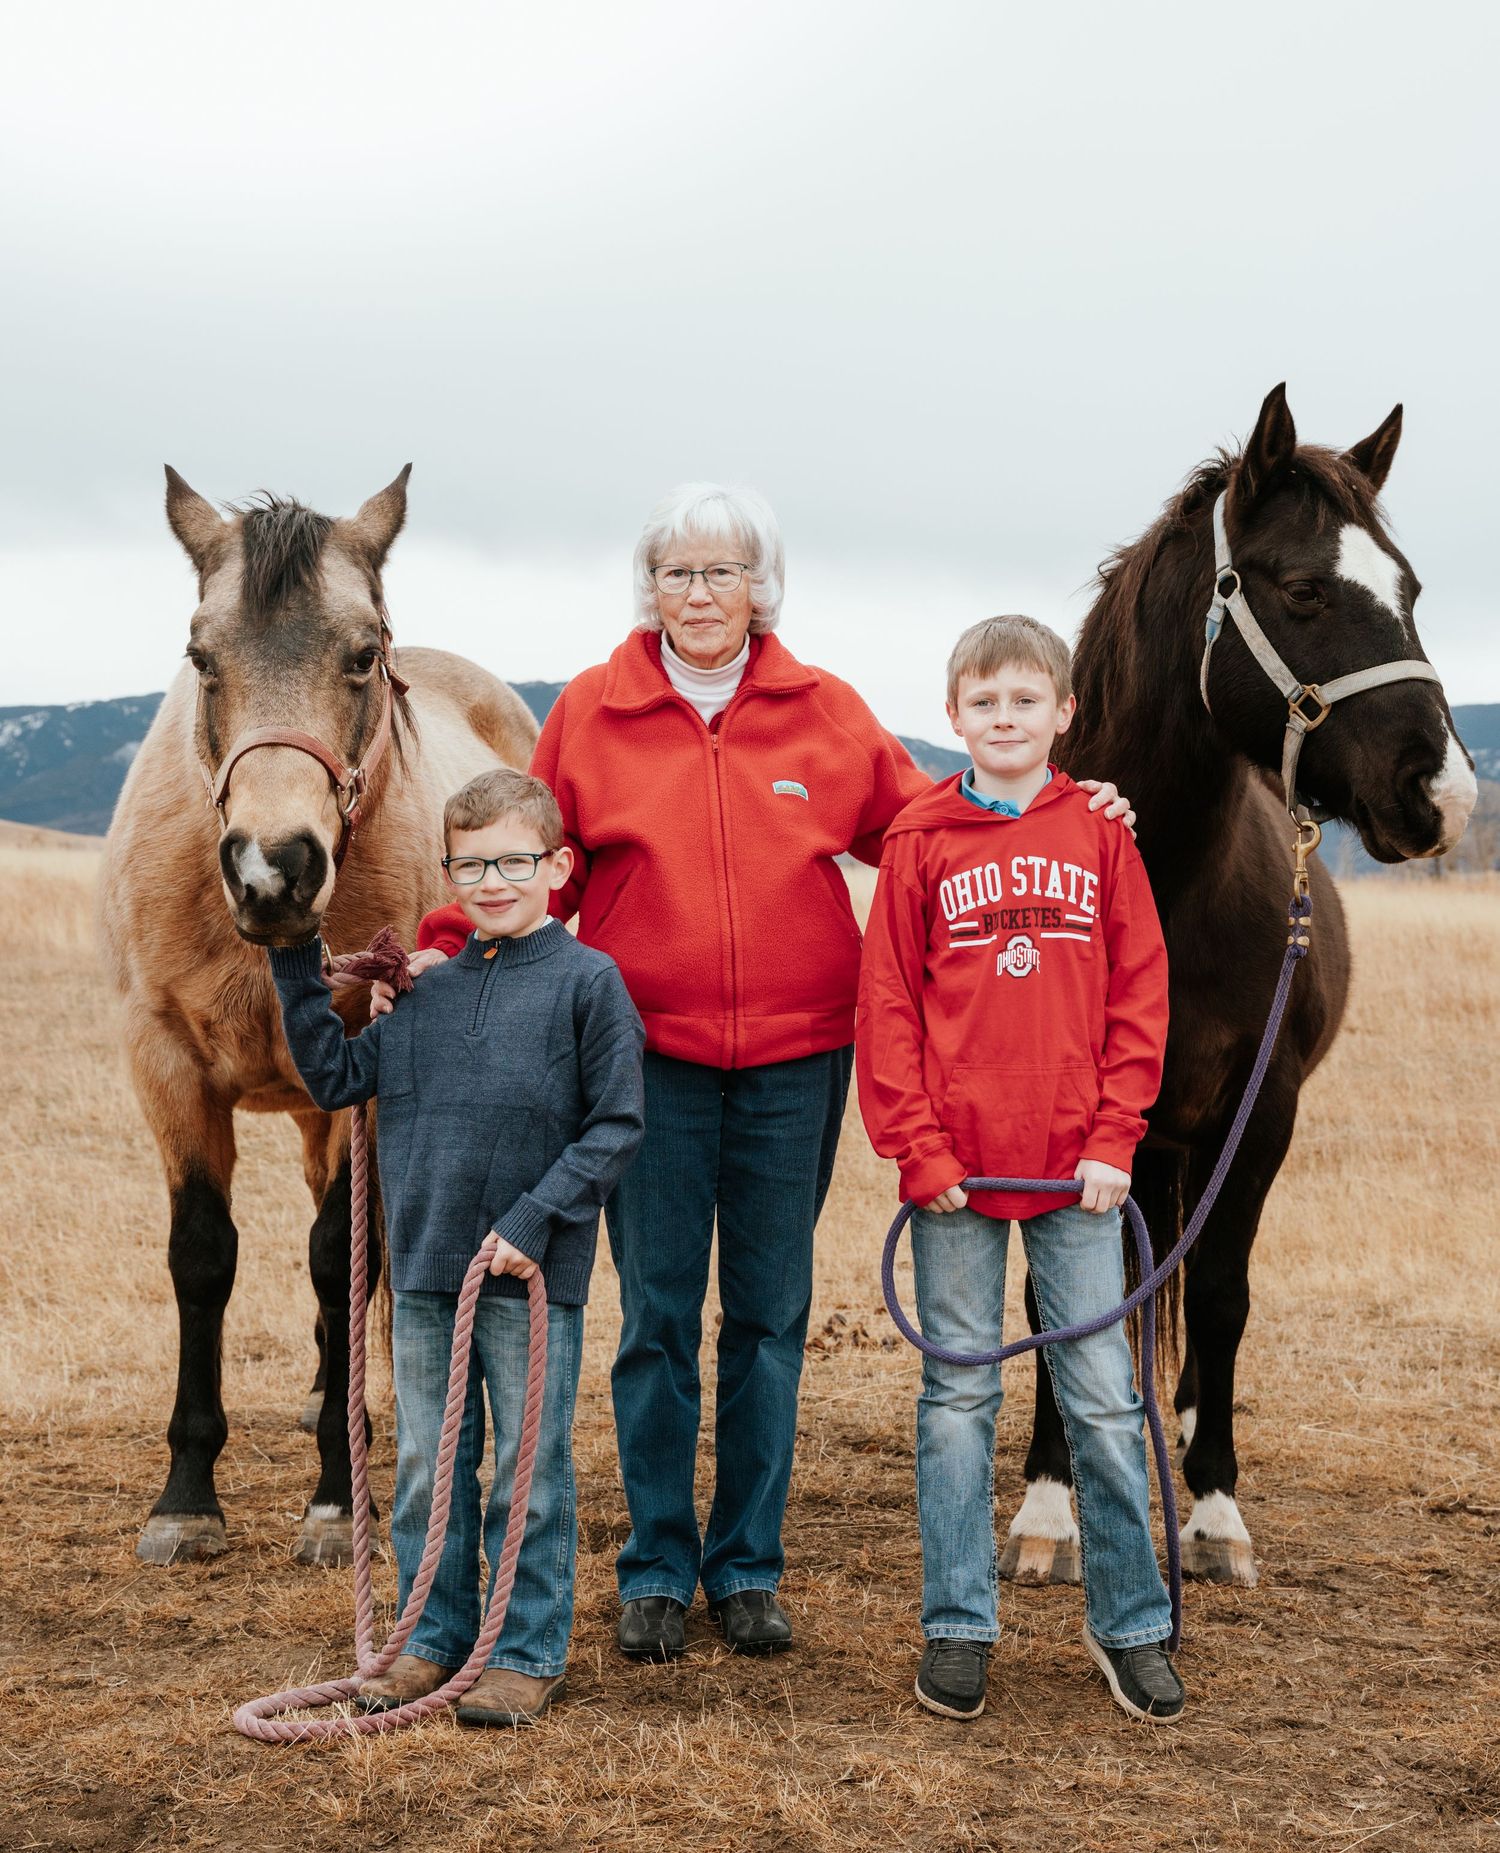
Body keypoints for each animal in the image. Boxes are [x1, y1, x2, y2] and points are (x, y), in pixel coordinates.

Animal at [103, 466, 538, 1566]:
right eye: (201, 656)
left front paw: (340, 1497)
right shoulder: (165, 1066)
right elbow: (202, 1256)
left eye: (363, 654)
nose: (273, 867)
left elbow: (341, 1256)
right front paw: (187, 1497)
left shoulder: (368, 1084)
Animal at [999, 385, 1477, 1588]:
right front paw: (1049, 1502)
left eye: (1410, 588)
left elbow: (1219, 1294)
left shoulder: (1262, 1111)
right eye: (1304, 589)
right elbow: (1060, 1297)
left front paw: (1213, 1509)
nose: (1446, 793)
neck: (1165, 882)